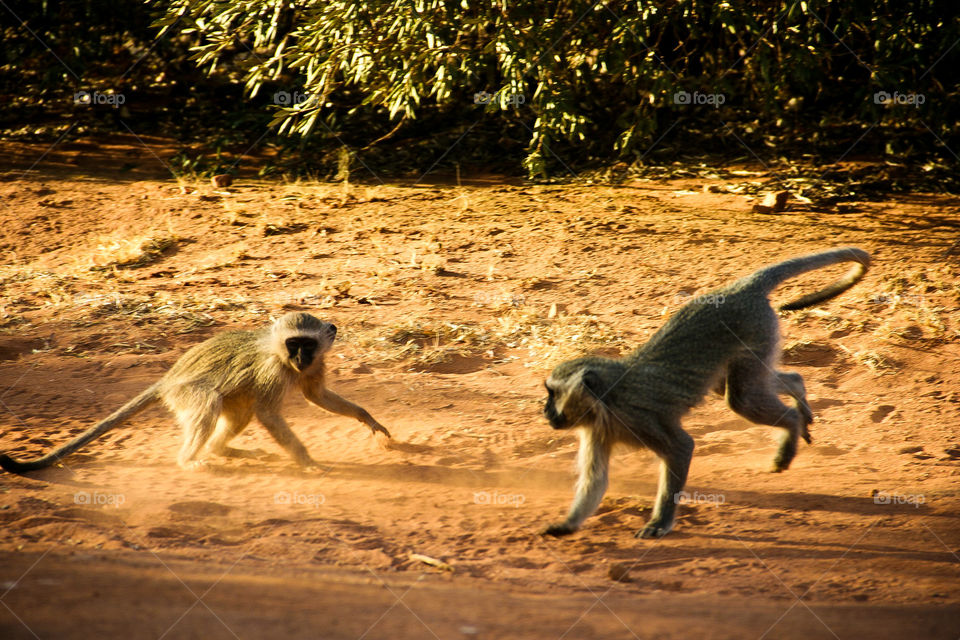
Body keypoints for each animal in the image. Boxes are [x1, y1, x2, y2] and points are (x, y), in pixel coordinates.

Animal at [0, 312, 390, 472]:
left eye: (307, 345)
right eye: (292, 344)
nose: (298, 357)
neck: (284, 359)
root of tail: (168, 379)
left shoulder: (316, 366)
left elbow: (317, 396)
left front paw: (368, 420)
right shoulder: (271, 371)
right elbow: (268, 413)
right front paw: (306, 461)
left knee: (238, 412)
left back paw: (220, 449)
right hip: (186, 393)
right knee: (209, 403)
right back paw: (188, 460)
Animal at [540, 248, 872, 536]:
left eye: (553, 394)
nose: (546, 412)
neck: (607, 401)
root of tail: (741, 290)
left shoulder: (638, 417)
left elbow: (682, 447)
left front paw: (660, 523)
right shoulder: (597, 429)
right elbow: (595, 481)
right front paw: (567, 525)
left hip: (756, 331)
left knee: (742, 399)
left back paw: (791, 423)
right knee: (741, 386)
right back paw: (796, 390)